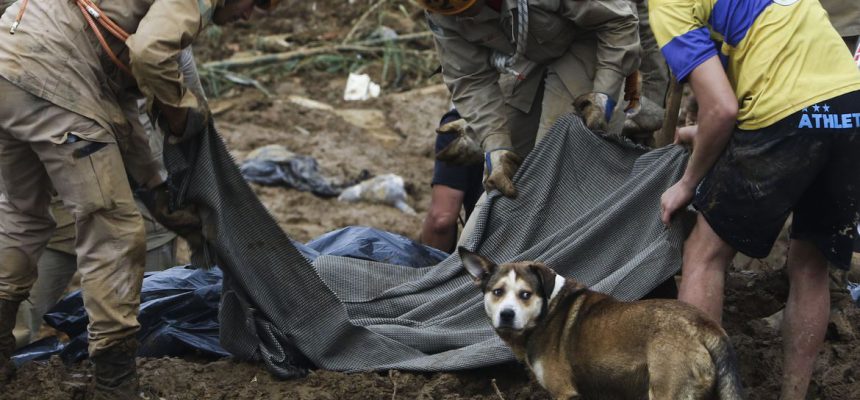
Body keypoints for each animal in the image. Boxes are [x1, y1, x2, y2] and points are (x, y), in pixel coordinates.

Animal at [460, 248, 744, 398]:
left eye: (525, 294)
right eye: (497, 292)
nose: (506, 314)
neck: (547, 310)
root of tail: (704, 325)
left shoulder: (564, 392)